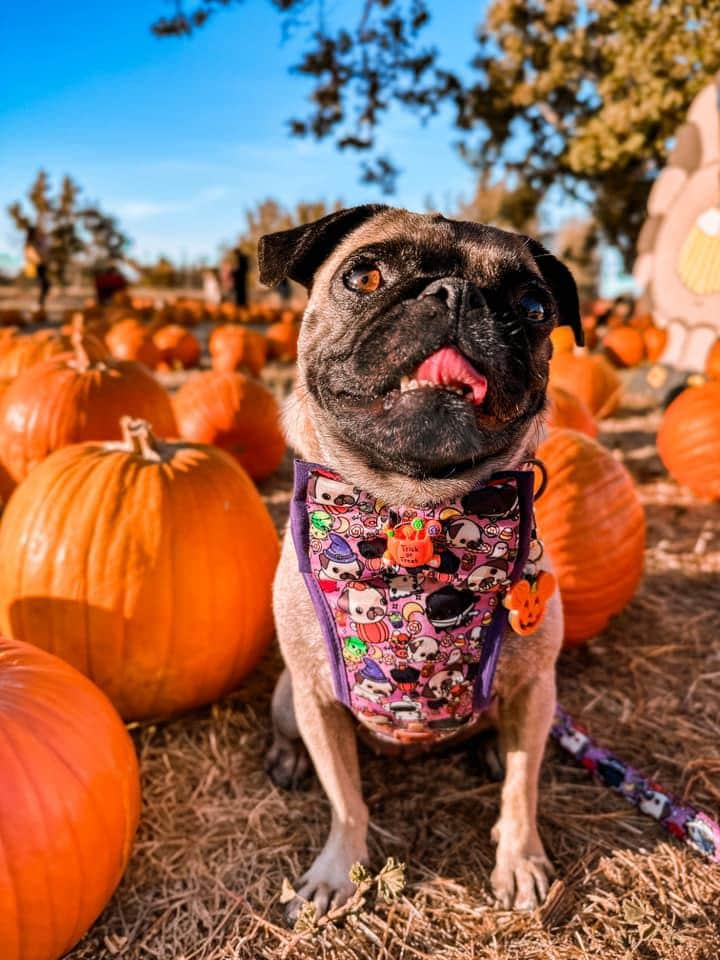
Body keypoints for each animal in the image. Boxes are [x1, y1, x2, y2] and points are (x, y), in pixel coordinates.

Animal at [262, 208, 584, 916]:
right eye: (364, 276)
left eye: (534, 306)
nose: (456, 295)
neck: (415, 513)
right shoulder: (318, 700)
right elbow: (345, 800)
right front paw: (338, 871)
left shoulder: (536, 689)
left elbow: (521, 788)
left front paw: (519, 861)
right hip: (287, 696)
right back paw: (287, 760)